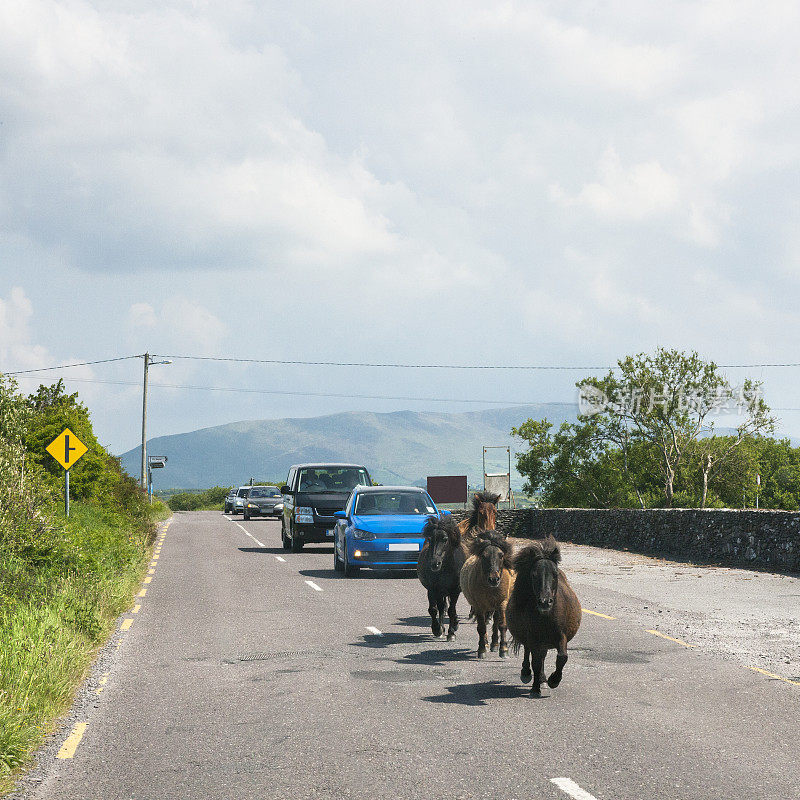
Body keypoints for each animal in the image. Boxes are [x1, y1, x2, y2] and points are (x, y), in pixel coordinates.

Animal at [506, 540, 580, 696]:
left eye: (555, 574)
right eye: (534, 575)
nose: (545, 602)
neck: (546, 617)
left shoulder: (561, 636)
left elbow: (562, 657)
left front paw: (553, 680)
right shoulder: (534, 638)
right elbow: (536, 662)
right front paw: (535, 688)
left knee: (542, 656)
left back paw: (543, 679)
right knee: (530, 654)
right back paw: (527, 673)